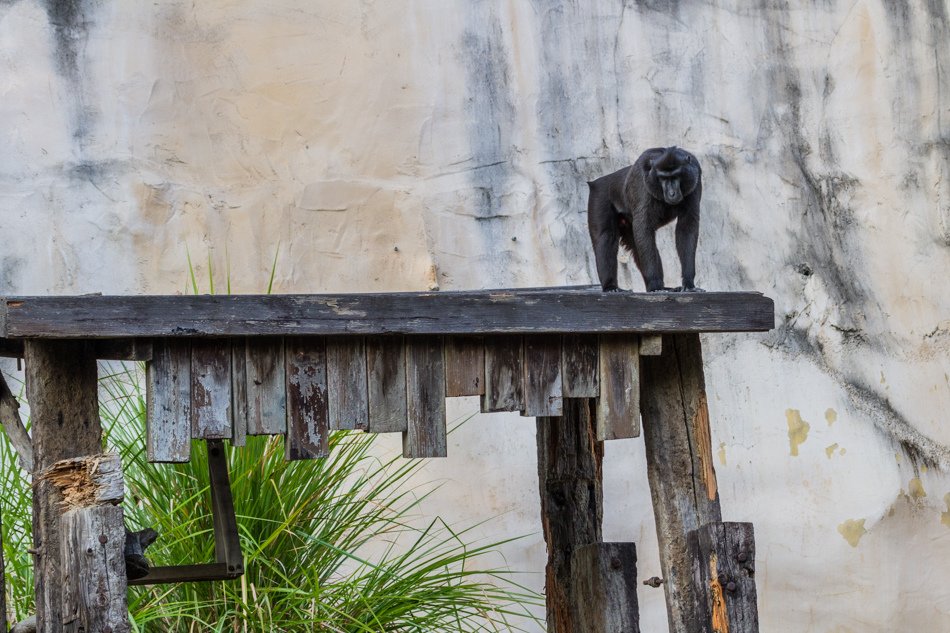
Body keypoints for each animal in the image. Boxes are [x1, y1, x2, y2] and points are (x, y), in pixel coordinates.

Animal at [584, 146, 704, 292]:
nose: (672, 193)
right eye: (663, 178)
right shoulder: (642, 183)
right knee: (605, 238)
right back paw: (611, 286)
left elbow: (686, 228)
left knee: (637, 245)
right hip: (599, 196)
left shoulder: (695, 181)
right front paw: (655, 285)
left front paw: (688, 282)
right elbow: (644, 228)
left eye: (675, 176)